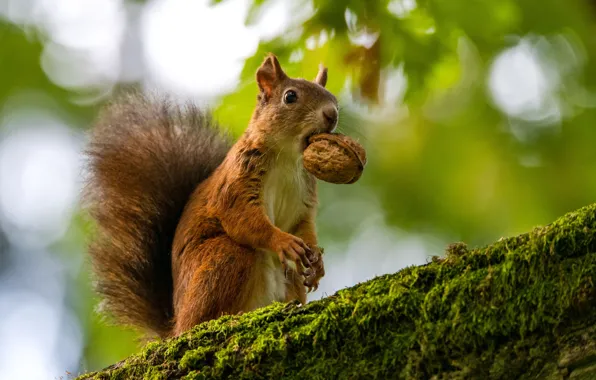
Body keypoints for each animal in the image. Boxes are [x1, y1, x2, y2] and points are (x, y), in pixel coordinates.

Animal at [82, 53, 340, 338]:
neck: (288, 158)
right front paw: (283, 241)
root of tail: (176, 326)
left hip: (287, 278)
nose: (332, 114)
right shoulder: (236, 183)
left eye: (333, 97)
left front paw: (317, 262)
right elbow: (243, 220)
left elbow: (304, 227)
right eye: (290, 97)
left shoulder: (304, 198)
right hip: (224, 258)